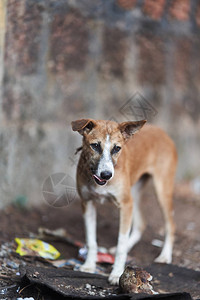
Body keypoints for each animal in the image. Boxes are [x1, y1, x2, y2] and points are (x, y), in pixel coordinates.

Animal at [71, 118, 177, 284]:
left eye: (117, 148)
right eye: (95, 145)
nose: (107, 174)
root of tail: (161, 131)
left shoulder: (125, 205)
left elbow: (121, 242)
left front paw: (117, 273)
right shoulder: (87, 203)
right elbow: (91, 240)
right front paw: (89, 266)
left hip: (161, 191)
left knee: (170, 225)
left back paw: (165, 256)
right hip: (135, 193)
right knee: (141, 223)